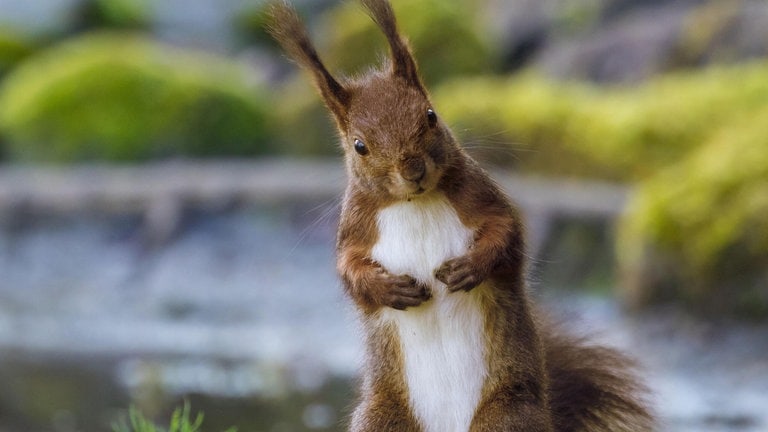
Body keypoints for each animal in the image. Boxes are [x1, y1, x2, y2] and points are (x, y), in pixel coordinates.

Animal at [268, 1, 652, 430]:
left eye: (431, 115)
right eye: (359, 145)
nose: (413, 169)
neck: (413, 203)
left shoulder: (482, 197)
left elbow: (508, 234)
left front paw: (469, 268)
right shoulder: (355, 228)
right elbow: (349, 271)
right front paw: (389, 289)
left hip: (506, 416)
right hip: (382, 418)